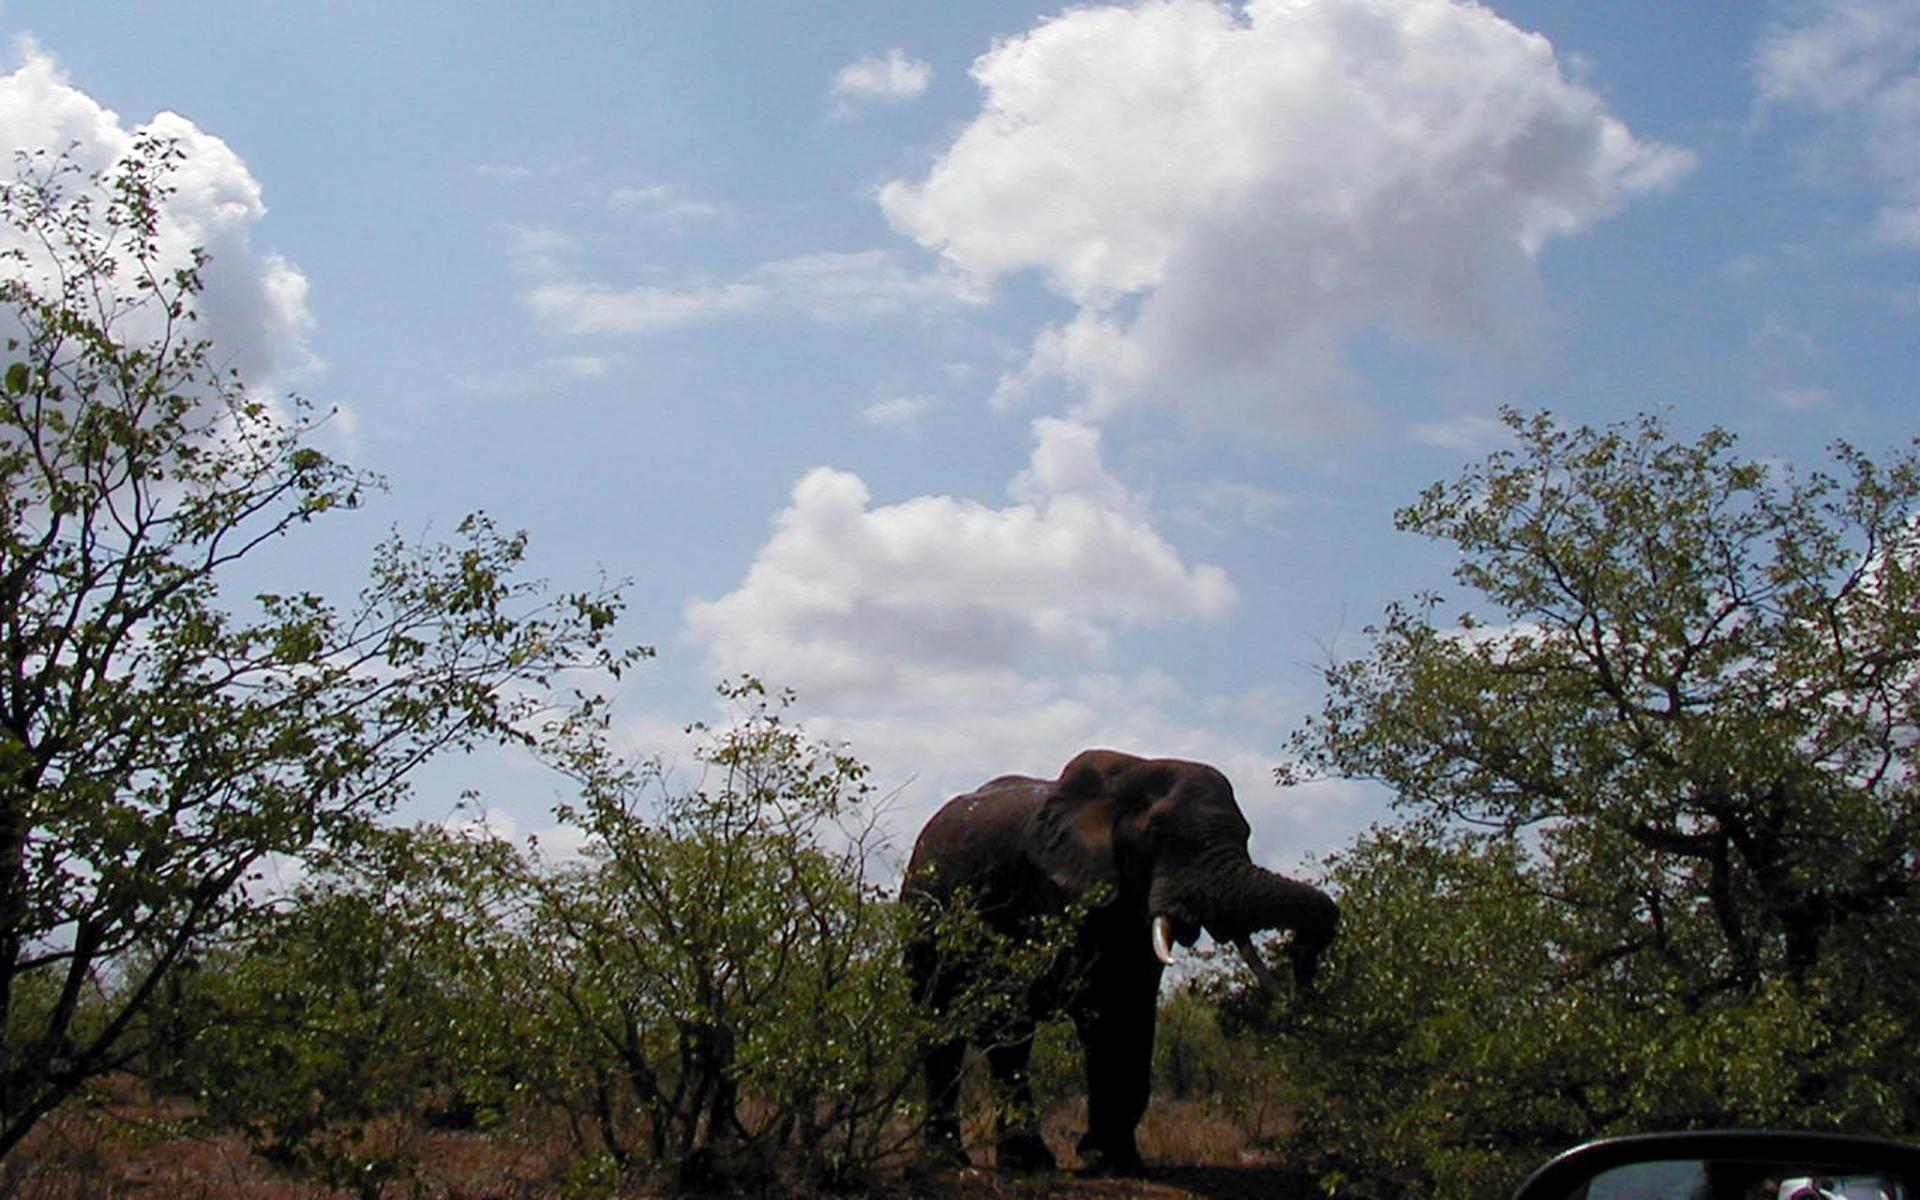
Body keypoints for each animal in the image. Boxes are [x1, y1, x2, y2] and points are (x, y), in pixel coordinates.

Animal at [898, 748, 1336, 1167]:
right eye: (1158, 832)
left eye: (1246, 834)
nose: (1303, 964)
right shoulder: (1052, 892)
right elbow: (1098, 1008)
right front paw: (1094, 1156)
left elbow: (1134, 1010)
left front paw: (1118, 1159)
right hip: (924, 913)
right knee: (948, 1029)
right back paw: (966, 1161)